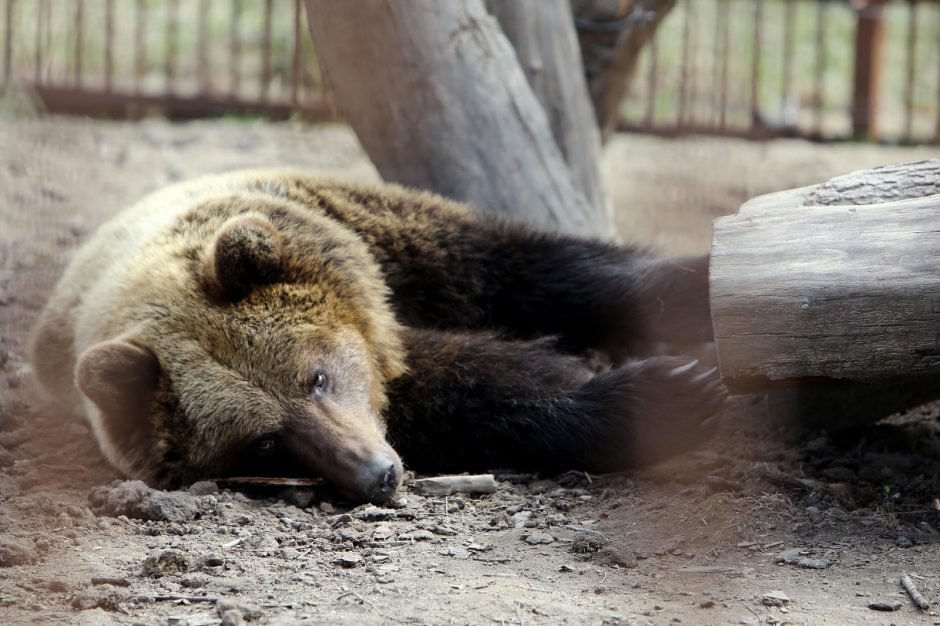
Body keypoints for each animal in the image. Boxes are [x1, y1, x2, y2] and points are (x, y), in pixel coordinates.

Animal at [27, 171, 720, 502]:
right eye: (263, 444)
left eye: (316, 378)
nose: (377, 473)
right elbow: (473, 390)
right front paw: (659, 394)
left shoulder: (384, 241)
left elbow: (537, 270)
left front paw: (692, 301)